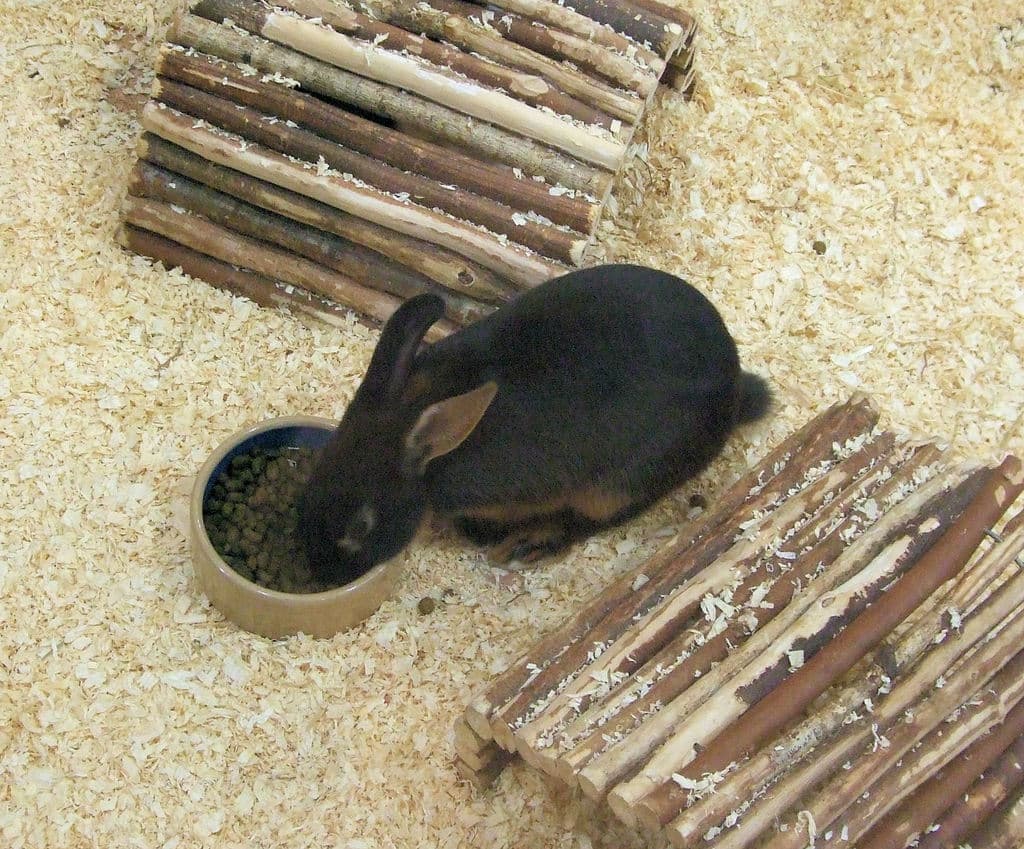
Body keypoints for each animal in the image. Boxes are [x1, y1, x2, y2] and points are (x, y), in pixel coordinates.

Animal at [297, 263, 771, 584]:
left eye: (360, 526)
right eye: (313, 476)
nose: (321, 574)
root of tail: (734, 392)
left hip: (617, 487)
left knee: (592, 521)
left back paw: (531, 543)